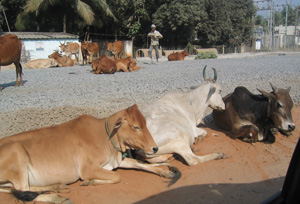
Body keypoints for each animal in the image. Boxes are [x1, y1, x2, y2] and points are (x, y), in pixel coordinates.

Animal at [0, 104, 177, 203]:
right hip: (17, 152)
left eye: (145, 124)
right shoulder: (87, 169)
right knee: (24, 192)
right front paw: (90, 182)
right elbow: (117, 177)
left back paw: (58, 187)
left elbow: (140, 164)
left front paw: (164, 171)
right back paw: (58, 198)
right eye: (136, 127)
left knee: (24, 190)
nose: (155, 148)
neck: (105, 137)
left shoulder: (118, 160)